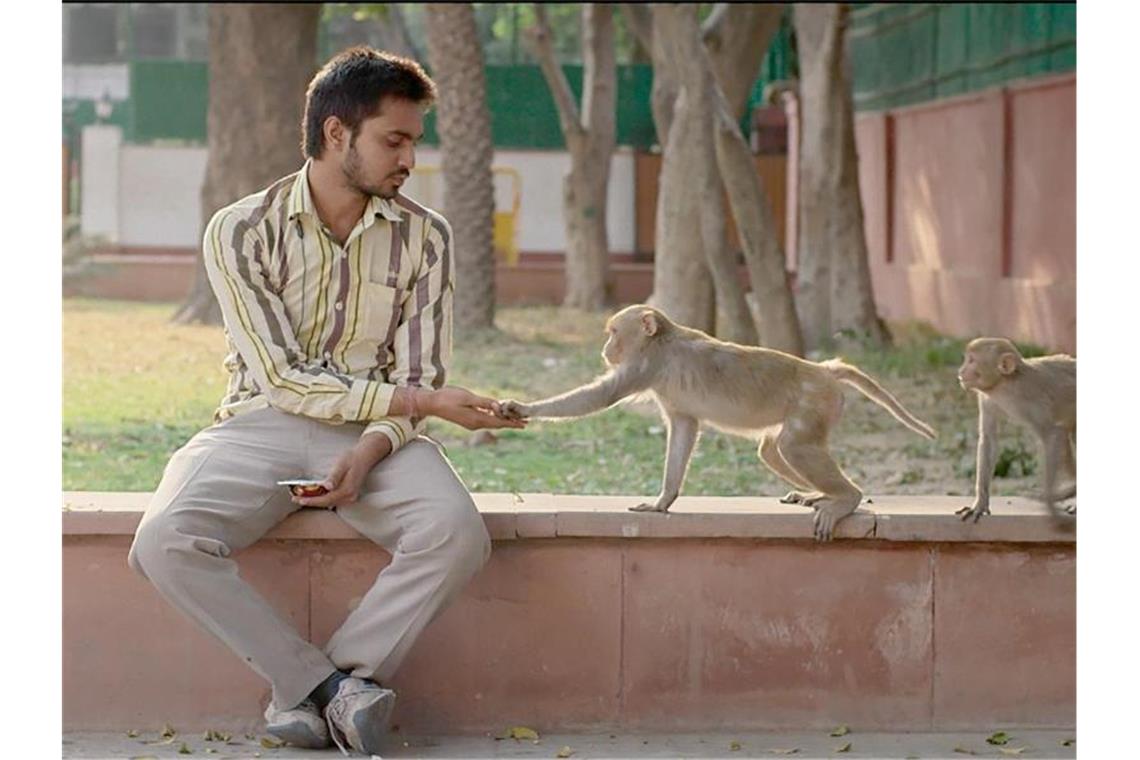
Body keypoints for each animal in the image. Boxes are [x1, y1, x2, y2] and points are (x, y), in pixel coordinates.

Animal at [499, 303, 934, 540]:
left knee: (794, 446)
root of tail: (824, 370)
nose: (606, 348)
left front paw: (521, 407)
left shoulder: (644, 366)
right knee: (773, 450)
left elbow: (597, 398)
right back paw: (820, 494)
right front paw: (663, 501)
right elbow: (683, 429)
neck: (661, 339)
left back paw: (846, 498)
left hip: (816, 403)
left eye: (614, 332)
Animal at [957, 339, 1071, 524]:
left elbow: (1053, 434)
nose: (960, 370)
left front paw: (1050, 504)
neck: (1004, 384)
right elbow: (989, 440)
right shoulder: (987, 398)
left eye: (972, 360)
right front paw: (980, 503)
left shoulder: (1031, 399)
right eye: (967, 359)